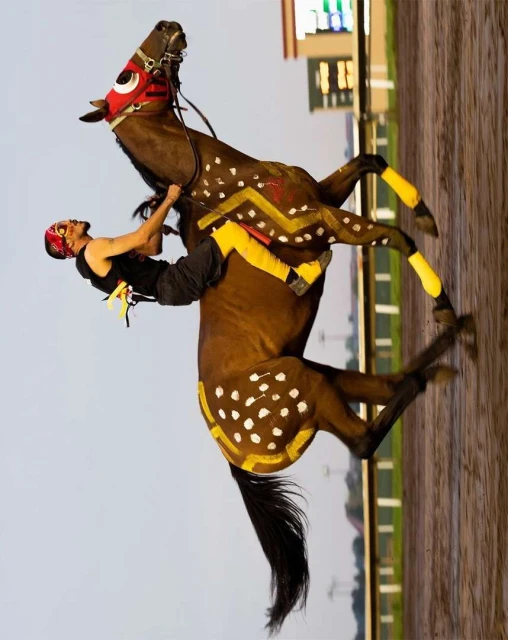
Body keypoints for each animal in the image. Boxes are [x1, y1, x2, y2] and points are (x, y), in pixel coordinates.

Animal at [79, 21, 465, 635]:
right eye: (124, 76)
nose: (168, 25)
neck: (223, 180)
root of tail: (232, 455)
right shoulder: (325, 222)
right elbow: (394, 237)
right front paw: (442, 302)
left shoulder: (325, 195)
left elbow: (370, 160)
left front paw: (426, 213)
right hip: (300, 386)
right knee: (363, 438)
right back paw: (435, 358)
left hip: (309, 369)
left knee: (372, 388)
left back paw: (439, 360)